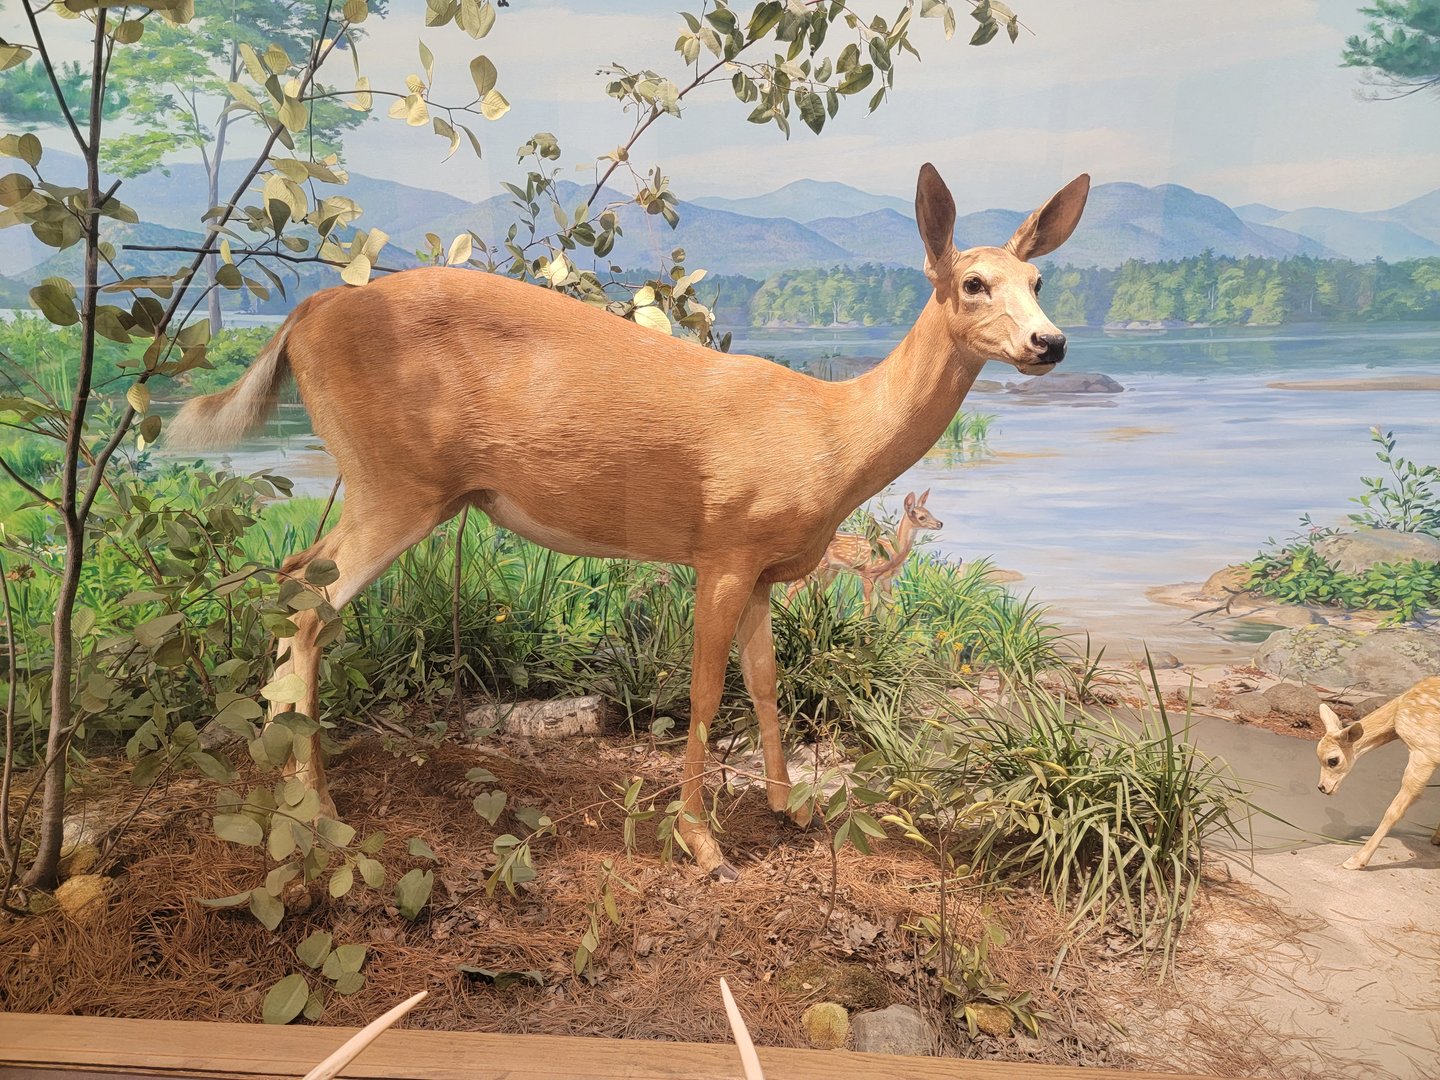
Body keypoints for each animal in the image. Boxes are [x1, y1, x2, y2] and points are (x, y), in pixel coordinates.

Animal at [784, 489, 943, 612]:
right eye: (922, 517)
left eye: (930, 512)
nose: (940, 523)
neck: (892, 553)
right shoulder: (868, 573)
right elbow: (868, 605)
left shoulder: (887, 578)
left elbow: (890, 606)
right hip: (818, 568)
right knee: (792, 589)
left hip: (831, 570)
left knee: (817, 593)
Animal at [1316, 676, 1440, 870]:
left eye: (1333, 760)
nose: (1322, 787)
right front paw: (1437, 839)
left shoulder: (1425, 752)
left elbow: (1393, 811)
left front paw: (1356, 861)